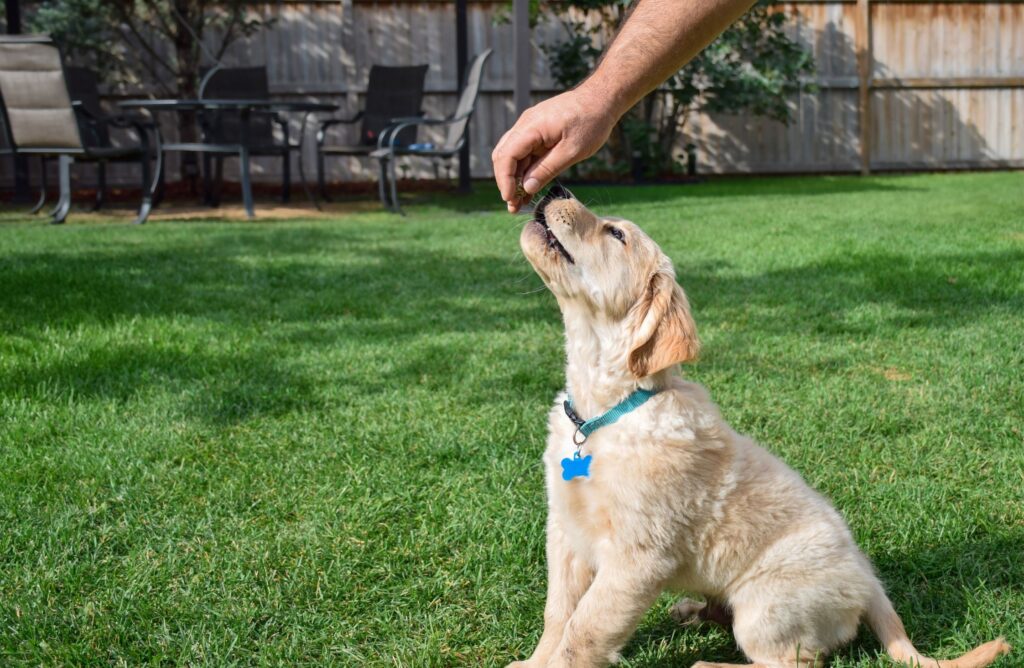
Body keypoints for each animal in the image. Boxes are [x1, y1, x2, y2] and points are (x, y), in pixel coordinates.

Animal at [509, 186, 1007, 667]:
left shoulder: (638, 557)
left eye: (616, 234)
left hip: (765, 605)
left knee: (793, 661)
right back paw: (691, 611)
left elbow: (584, 631)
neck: (604, 411)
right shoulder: (565, 531)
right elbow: (559, 613)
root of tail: (871, 584)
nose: (555, 188)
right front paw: (533, 662)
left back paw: (707, 665)